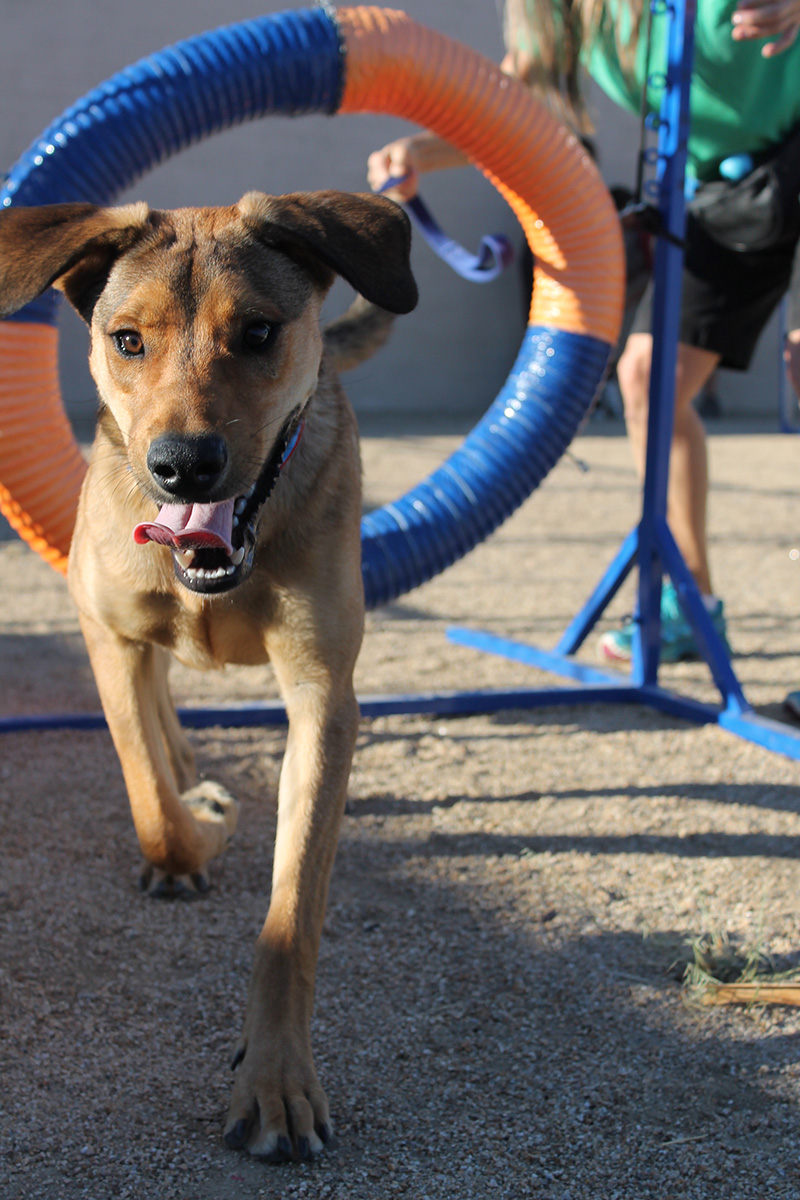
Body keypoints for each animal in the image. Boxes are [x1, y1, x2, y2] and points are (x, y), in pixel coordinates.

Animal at [1, 192, 419, 1156]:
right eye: (127, 339)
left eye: (259, 331)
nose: (183, 464)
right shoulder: (106, 637)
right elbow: (149, 792)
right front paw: (202, 820)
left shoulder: (323, 697)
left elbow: (291, 914)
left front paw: (275, 1082)